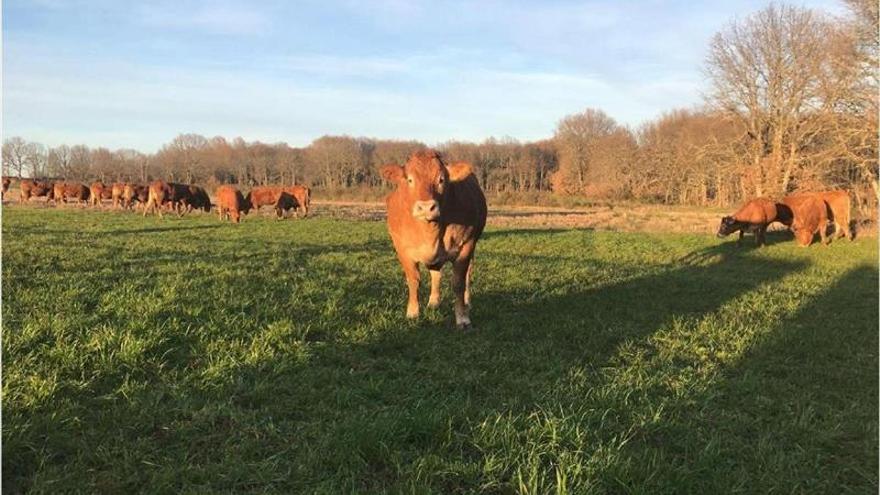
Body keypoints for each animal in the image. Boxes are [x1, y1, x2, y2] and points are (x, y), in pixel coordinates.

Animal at [380, 150, 488, 330]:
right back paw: (433, 302)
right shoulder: (402, 249)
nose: (426, 207)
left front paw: (462, 318)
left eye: (441, 180)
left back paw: (467, 302)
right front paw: (413, 312)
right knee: (435, 273)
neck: (429, 232)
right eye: (410, 179)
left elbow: (458, 283)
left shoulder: (466, 246)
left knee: (467, 274)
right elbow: (413, 280)